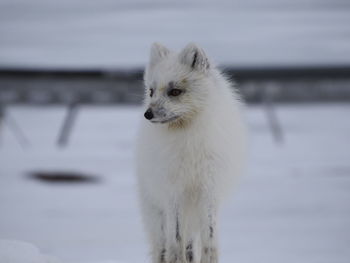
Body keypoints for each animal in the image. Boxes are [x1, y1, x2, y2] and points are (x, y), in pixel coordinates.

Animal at [135, 43, 245, 263]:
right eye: (151, 91)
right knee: (163, 248)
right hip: (157, 214)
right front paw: (177, 259)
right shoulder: (174, 193)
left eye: (175, 91)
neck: (189, 140)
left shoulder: (209, 190)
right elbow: (176, 241)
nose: (147, 114)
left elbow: (209, 241)